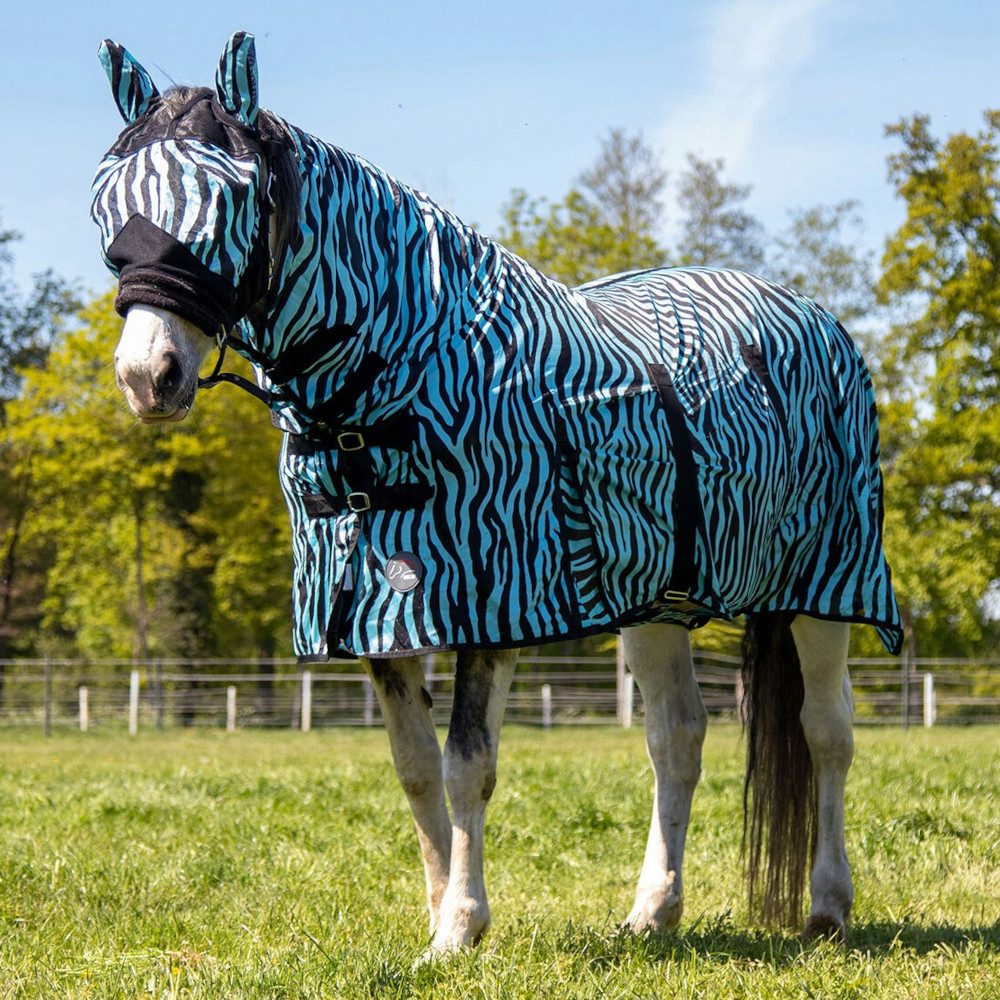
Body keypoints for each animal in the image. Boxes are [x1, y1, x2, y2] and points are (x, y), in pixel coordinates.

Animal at [91, 32, 903, 956]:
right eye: (106, 202)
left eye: (233, 194)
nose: (147, 377)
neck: (402, 383)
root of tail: (811, 315)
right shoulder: (381, 615)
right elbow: (415, 772)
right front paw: (438, 914)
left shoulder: (491, 606)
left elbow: (467, 765)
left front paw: (460, 928)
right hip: (659, 605)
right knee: (677, 740)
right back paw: (652, 913)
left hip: (827, 586)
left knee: (827, 733)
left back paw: (828, 907)